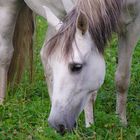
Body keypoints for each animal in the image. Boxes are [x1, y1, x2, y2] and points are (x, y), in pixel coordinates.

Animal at [40, 0, 140, 133]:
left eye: (77, 67)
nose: (56, 124)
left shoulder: (133, 25)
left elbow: (122, 80)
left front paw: (121, 122)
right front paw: (90, 126)